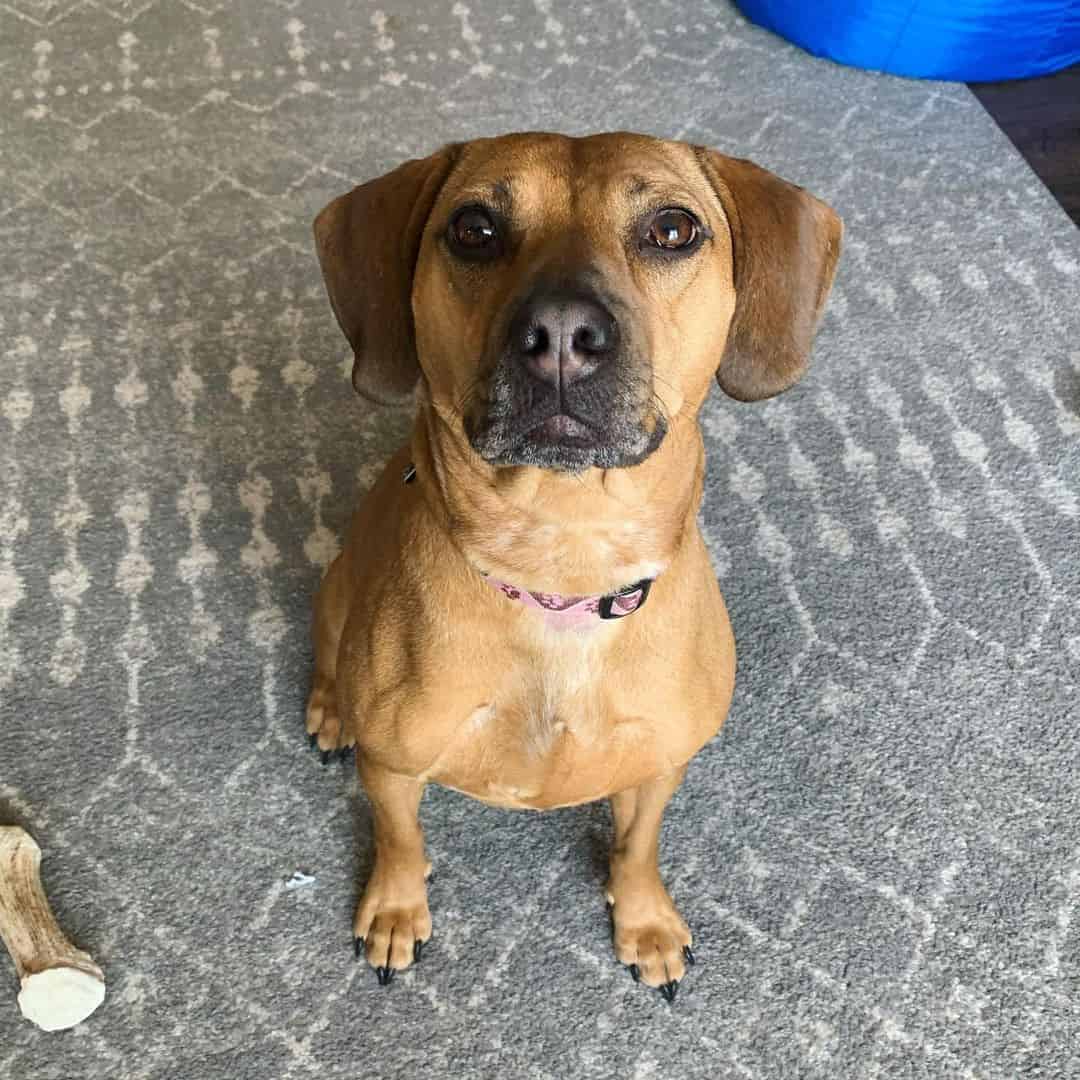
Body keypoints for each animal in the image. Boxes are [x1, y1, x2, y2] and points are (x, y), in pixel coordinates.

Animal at [308, 130, 838, 997]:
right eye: (474, 229)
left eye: (672, 229)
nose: (561, 332)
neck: (562, 560)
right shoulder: (391, 769)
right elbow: (400, 841)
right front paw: (394, 907)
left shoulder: (660, 765)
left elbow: (637, 845)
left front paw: (645, 919)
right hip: (337, 592)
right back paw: (329, 710)